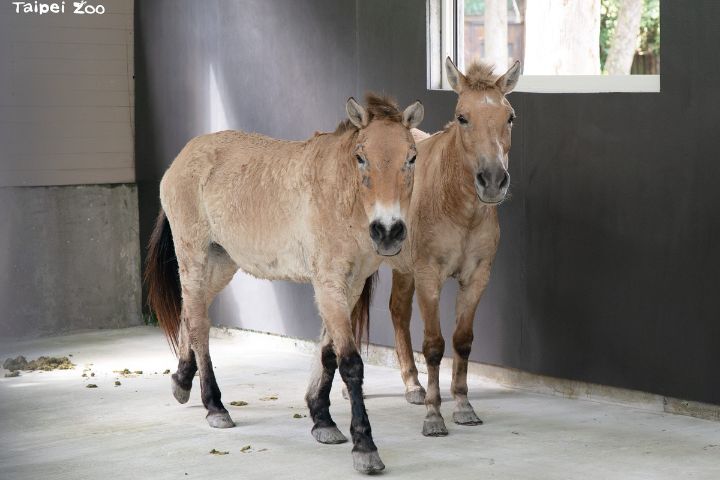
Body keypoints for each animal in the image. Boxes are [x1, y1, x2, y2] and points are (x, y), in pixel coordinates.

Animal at [144, 94, 424, 473]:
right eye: (361, 157)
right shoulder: (330, 284)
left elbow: (328, 354)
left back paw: (181, 382)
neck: (342, 197)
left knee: (191, 312)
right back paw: (215, 406)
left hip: (221, 263)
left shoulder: (349, 287)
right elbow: (349, 362)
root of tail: (183, 157)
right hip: (194, 256)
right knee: (200, 323)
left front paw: (323, 421)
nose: (388, 231)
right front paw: (364, 447)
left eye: (411, 157)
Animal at [361, 58, 520, 436]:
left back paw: (412, 385)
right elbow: (434, 345)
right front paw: (434, 416)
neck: (456, 207)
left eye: (510, 117)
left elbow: (462, 341)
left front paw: (462, 405)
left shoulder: (476, 278)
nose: (493, 180)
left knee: (398, 312)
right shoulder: (429, 277)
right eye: (462, 117)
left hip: (403, 269)